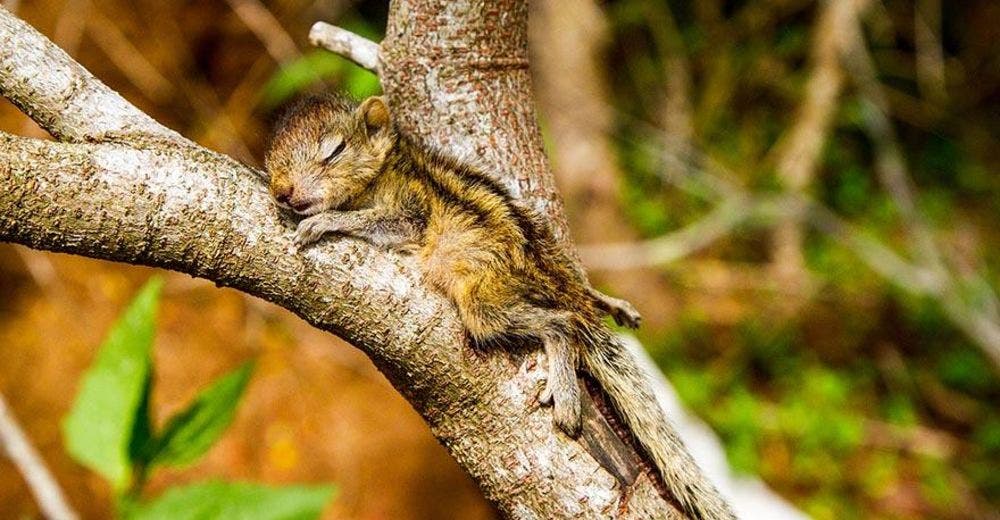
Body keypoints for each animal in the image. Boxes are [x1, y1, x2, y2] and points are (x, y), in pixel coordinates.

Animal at [266, 94, 736, 520]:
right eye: (272, 160)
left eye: (334, 151)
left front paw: (324, 222)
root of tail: (560, 287)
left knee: (562, 324)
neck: (388, 169)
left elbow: (379, 221)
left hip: (484, 304)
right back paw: (606, 302)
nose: (283, 192)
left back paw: (567, 392)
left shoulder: (409, 212)